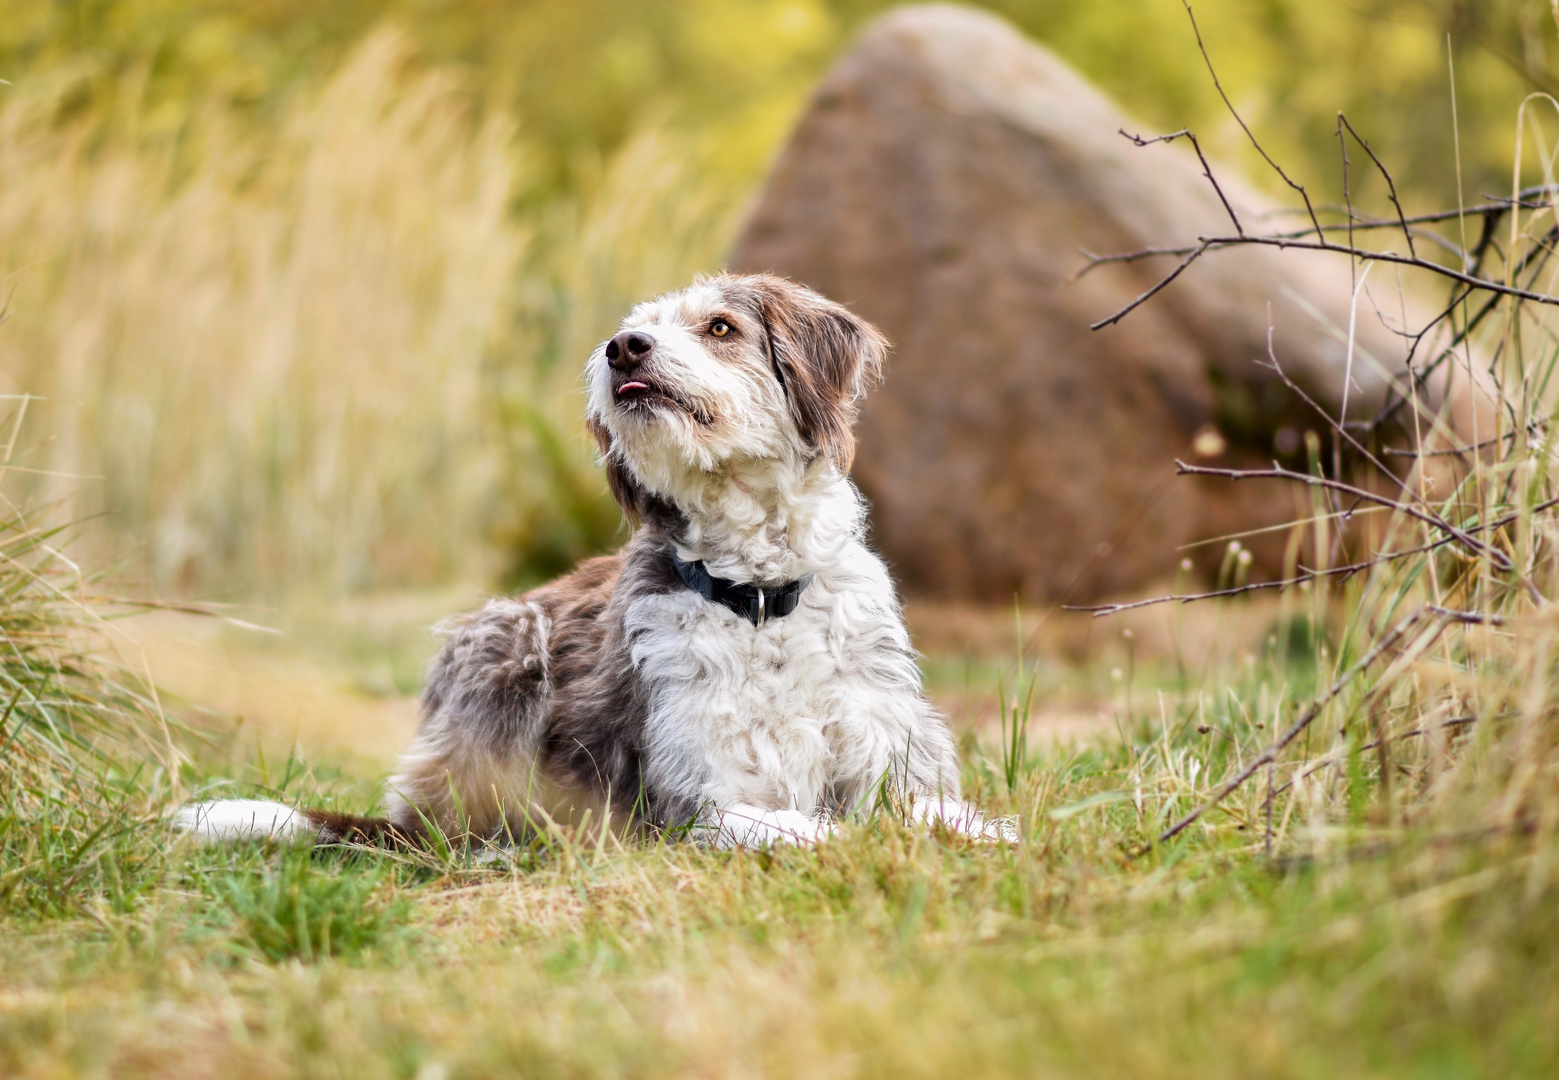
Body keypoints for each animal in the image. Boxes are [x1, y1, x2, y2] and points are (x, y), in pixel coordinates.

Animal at [176, 274, 1010, 847]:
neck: (760, 593)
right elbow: (809, 831)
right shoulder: (695, 795)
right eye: (630, 331)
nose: (624, 348)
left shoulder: (889, 753)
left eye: (720, 326)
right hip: (503, 642)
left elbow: (947, 816)